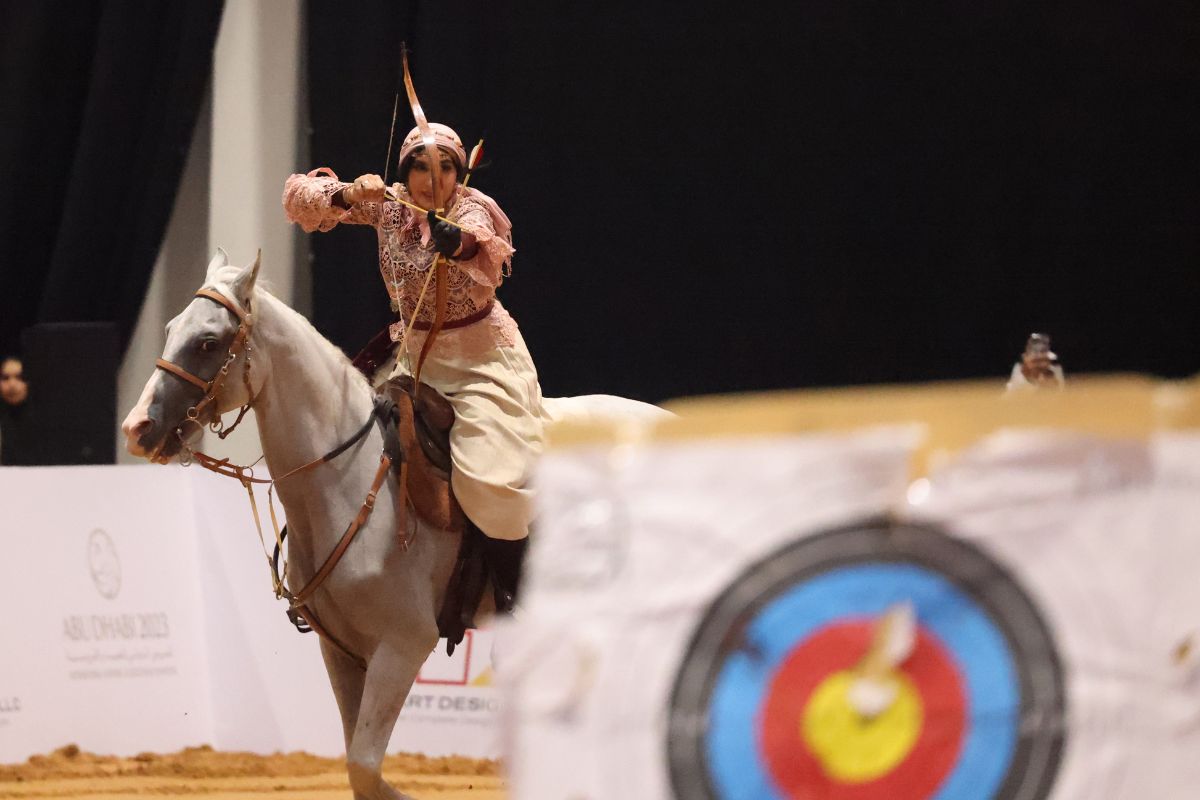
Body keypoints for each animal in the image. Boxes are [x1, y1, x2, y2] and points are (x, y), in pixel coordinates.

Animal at [121, 251, 667, 800]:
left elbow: (364, 764)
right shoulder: (341, 653)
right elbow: (358, 766)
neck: (351, 478)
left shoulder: (403, 646)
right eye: (170, 329)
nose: (137, 429)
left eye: (208, 341)